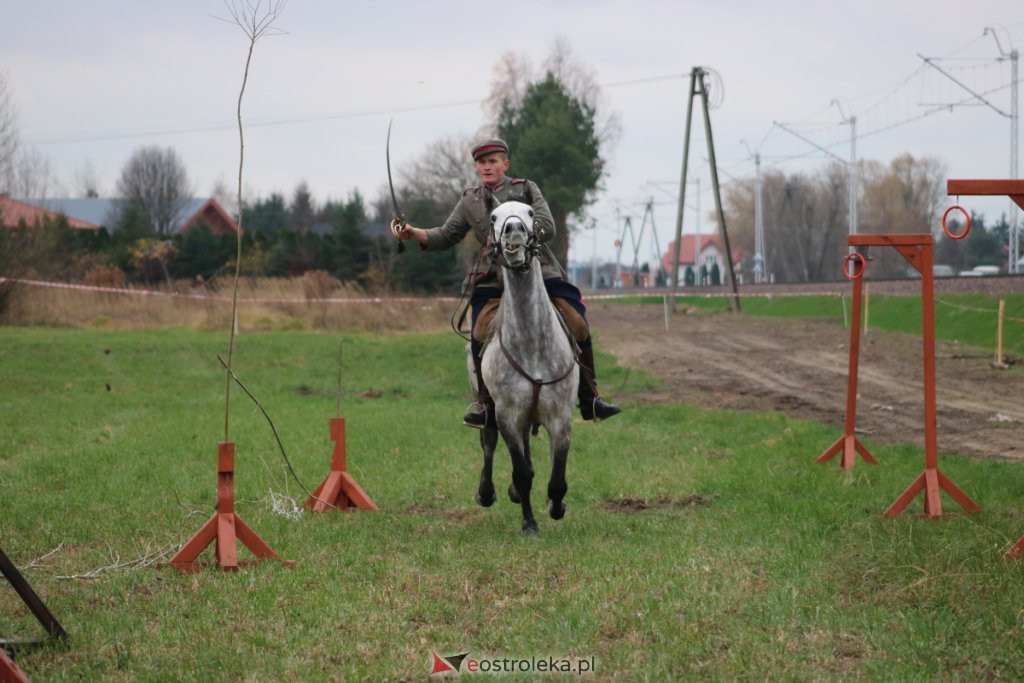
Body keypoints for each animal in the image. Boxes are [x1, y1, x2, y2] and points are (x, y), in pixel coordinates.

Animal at [475, 200, 581, 536]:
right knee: (489, 443)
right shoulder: (507, 416)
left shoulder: (561, 418)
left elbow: (557, 478)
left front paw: (557, 507)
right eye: (494, 217)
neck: (532, 344)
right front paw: (530, 523)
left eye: (531, 213)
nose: (514, 232)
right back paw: (487, 492)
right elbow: (521, 473)